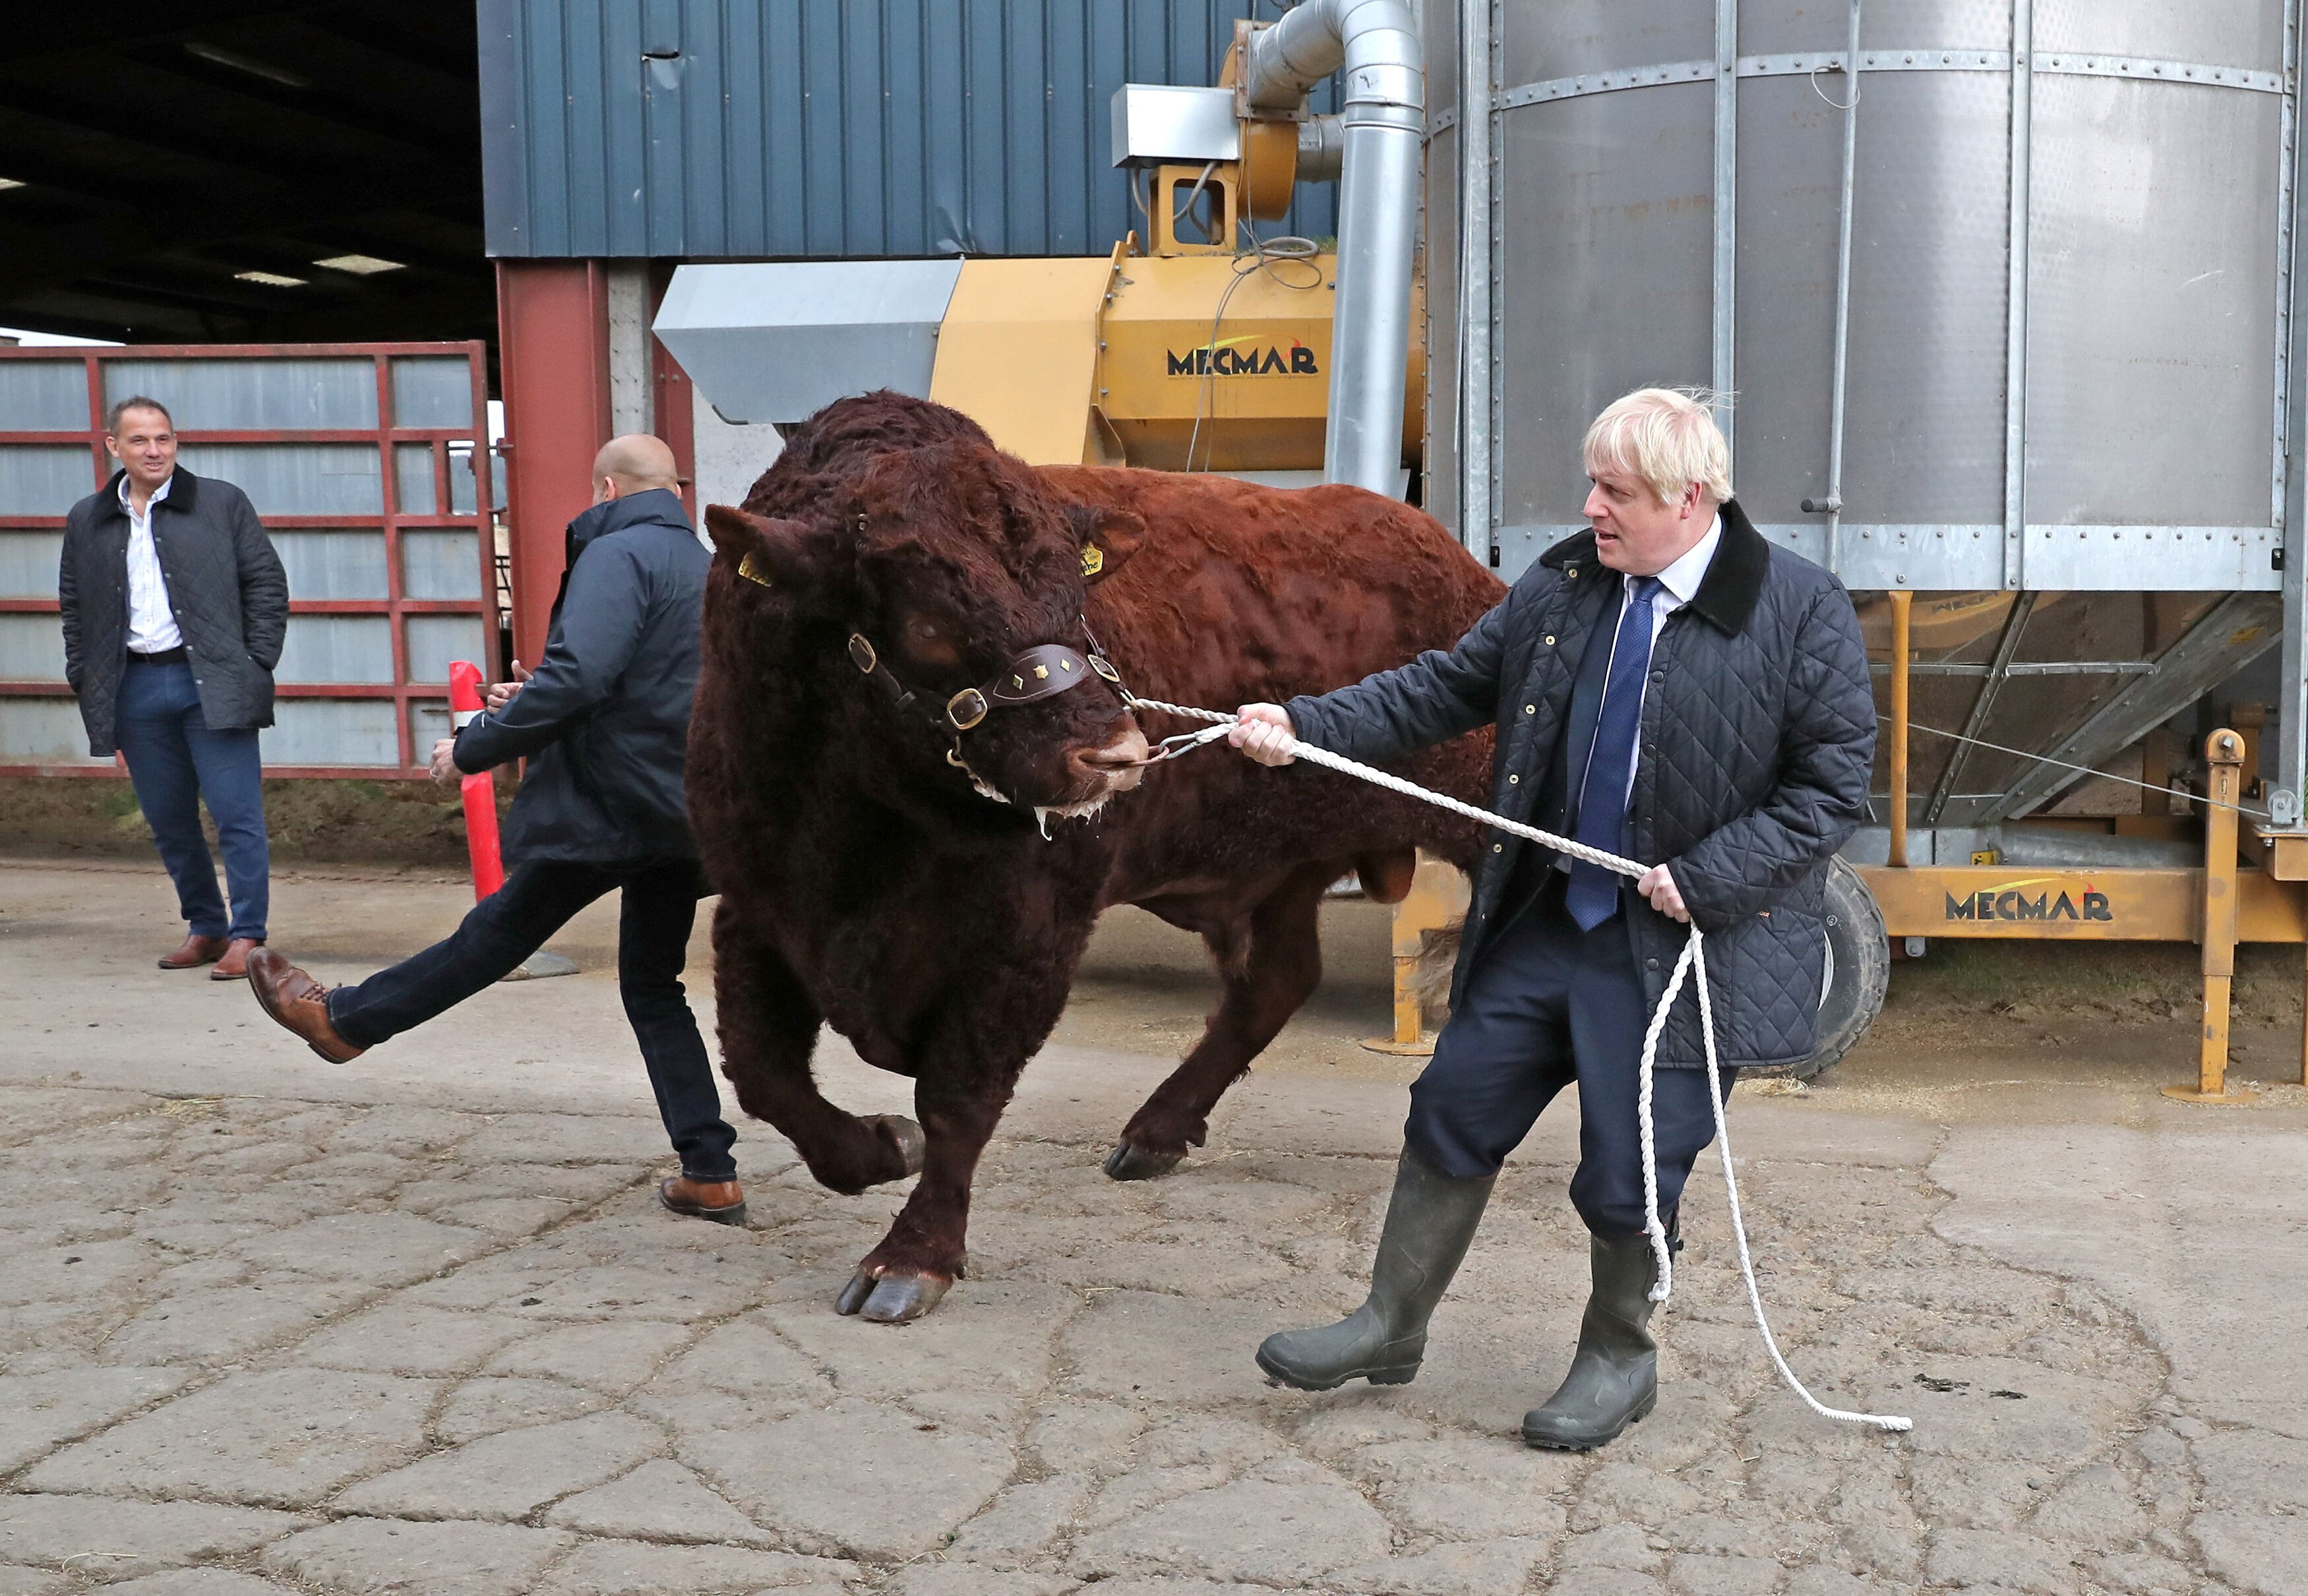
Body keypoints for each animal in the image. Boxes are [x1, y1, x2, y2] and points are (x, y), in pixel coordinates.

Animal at [692, 390, 1505, 1319]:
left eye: (1075, 600)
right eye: (928, 621)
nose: (1115, 754)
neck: (865, 825)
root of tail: (1458, 564)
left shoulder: (1030, 933)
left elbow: (957, 1096)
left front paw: (910, 1258)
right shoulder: (757, 904)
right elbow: (763, 1072)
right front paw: (877, 1147)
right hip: (1278, 872)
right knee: (1275, 981)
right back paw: (1155, 1132)